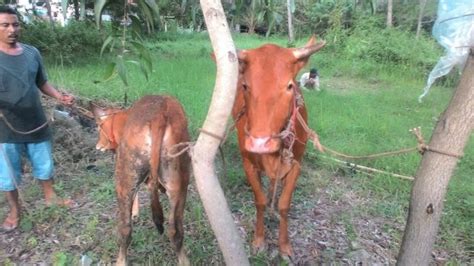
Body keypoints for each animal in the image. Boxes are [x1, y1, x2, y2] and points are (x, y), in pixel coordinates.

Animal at [91, 95, 191, 266]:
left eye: (98, 128)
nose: (97, 146)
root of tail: (159, 115)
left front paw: (134, 212)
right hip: (179, 184)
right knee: (175, 231)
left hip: (124, 180)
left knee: (125, 230)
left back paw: (121, 260)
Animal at [232, 36, 326, 258]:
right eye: (245, 86)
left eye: (290, 86)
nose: (259, 143)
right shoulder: (248, 163)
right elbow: (259, 201)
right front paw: (259, 240)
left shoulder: (296, 164)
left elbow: (284, 204)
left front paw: (284, 245)